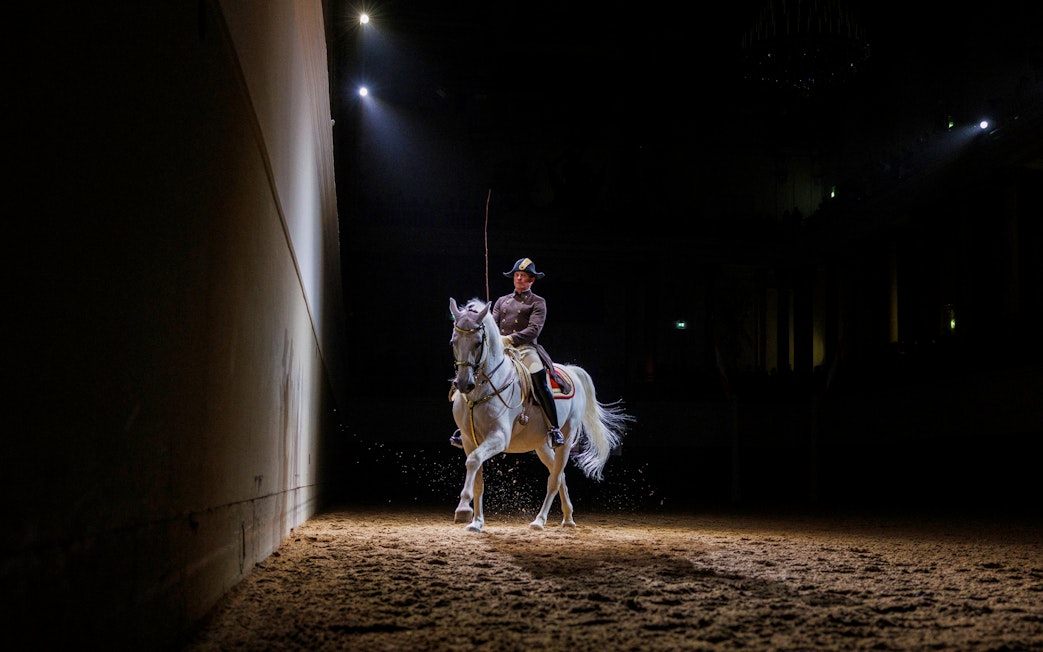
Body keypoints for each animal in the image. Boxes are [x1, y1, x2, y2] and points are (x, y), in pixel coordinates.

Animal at [448, 297, 633, 532]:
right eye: (453, 342)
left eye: (478, 343)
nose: (463, 384)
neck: (481, 391)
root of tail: (572, 370)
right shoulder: (468, 439)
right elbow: (478, 477)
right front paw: (476, 522)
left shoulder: (498, 437)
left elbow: (472, 462)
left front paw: (463, 508)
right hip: (542, 445)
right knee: (559, 474)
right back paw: (568, 518)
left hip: (566, 438)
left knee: (554, 479)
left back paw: (539, 520)